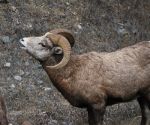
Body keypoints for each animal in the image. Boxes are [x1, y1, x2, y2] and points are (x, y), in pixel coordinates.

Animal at [19, 28, 149, 124]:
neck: (73, 72)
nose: (22, 40)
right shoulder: (89, 108)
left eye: (43, 44)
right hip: (142, 98)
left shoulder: (98, 106)